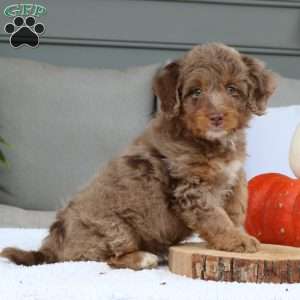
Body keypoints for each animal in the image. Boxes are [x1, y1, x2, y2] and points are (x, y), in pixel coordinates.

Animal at [0, 42, 276, 270]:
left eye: (232, 89)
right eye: (195, 92)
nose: (216, 117)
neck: (211, 142)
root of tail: (51, 247)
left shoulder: (234, 179)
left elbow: (235, 212)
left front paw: (239, 236)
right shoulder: (191, 189)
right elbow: (215, 217)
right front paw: (236, 240)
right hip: (113, 228)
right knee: (113, 258)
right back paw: (144, 258)